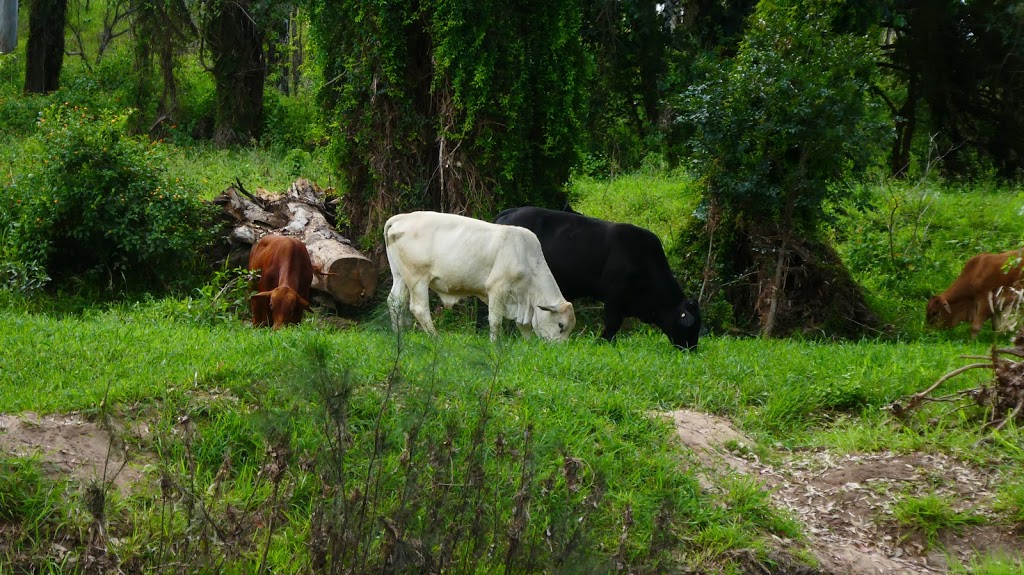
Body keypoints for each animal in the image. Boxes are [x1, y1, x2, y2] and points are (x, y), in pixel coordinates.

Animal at [385, 210, 577, 339]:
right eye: (561, 325)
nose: (557, 348)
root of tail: (400, 218)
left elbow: (524, 326)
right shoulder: (497, 289)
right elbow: (495, 320)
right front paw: (495, 343)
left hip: (400, 276)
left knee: (395, 301)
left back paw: (398, 333)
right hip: (417, 279)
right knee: (419, 308)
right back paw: (435, 337)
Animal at [495, 205, 704, 349]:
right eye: (691, 326)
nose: (691, 349)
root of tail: (511, 211)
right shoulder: (614, 298)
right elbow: (612, 324)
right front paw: (601, 342)